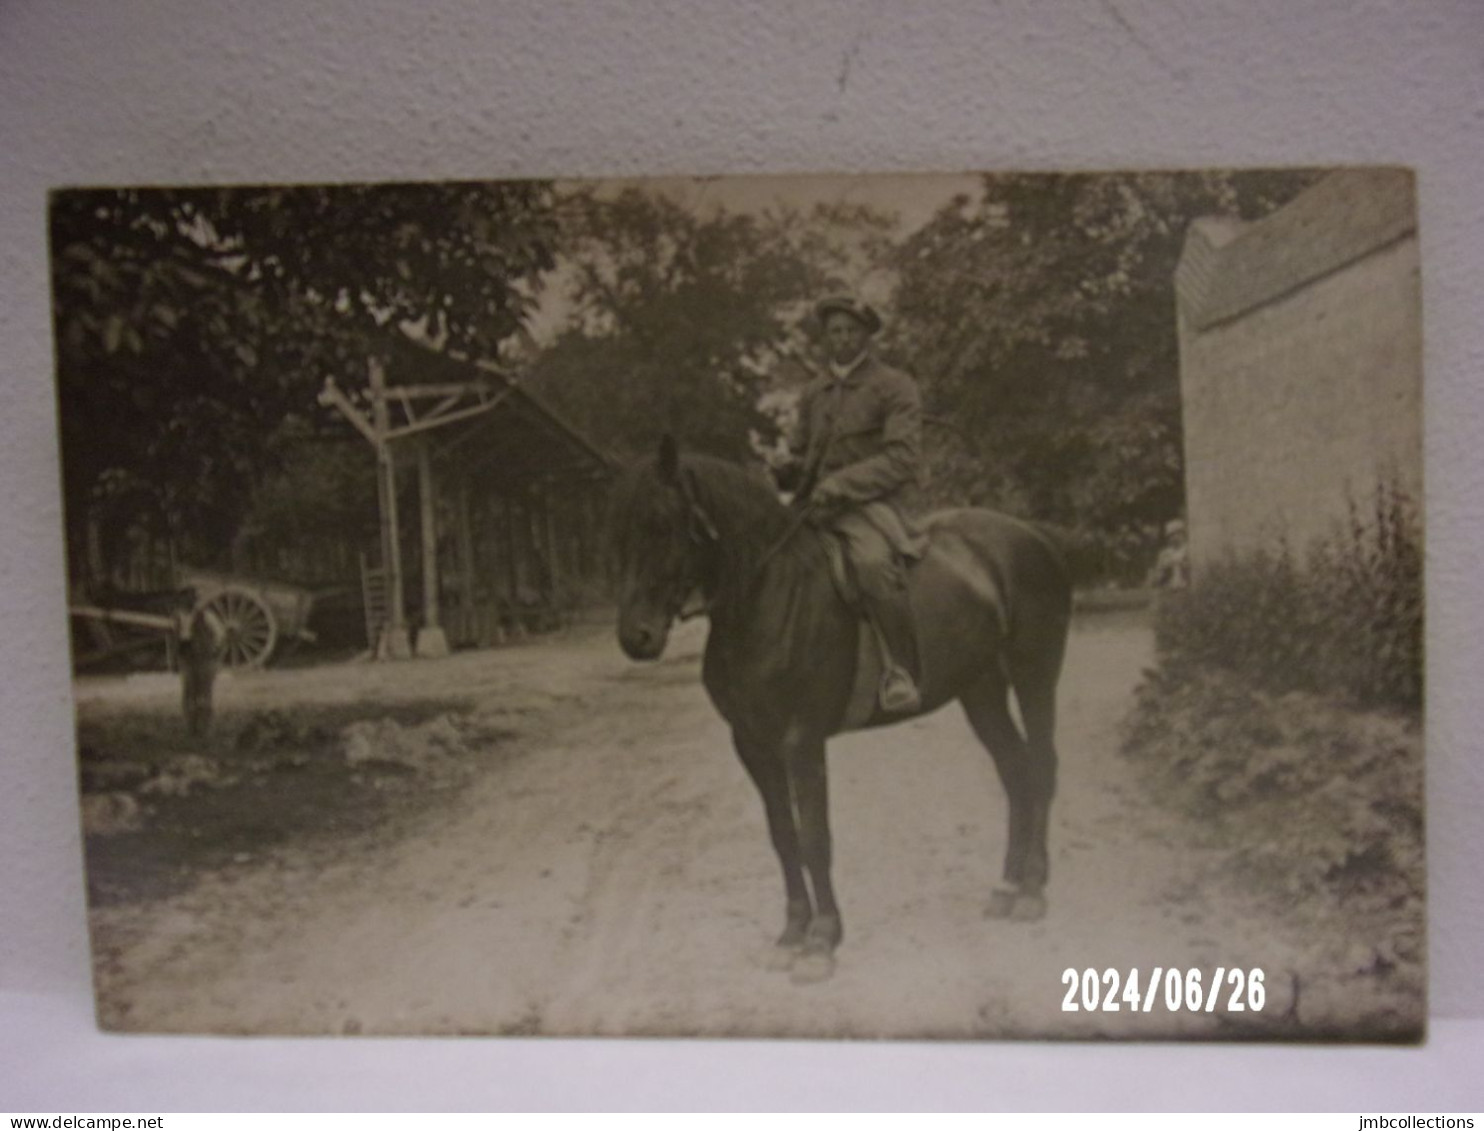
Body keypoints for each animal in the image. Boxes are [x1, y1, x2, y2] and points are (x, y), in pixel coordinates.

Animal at [608, 436, 1074, 985]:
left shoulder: (802, 741)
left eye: (663, 523)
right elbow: (783, 837)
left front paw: (822, 941)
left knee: (1041, 767)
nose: (636, 638)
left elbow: (814, 838)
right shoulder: (753, 746)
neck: (767, 598)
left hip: (1034, 675)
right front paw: (791, 933)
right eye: (618, 530)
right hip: (980, 690)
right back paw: (1007, 887)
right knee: (1015, 772)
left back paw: (1032, 891)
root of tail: (1034, 536)